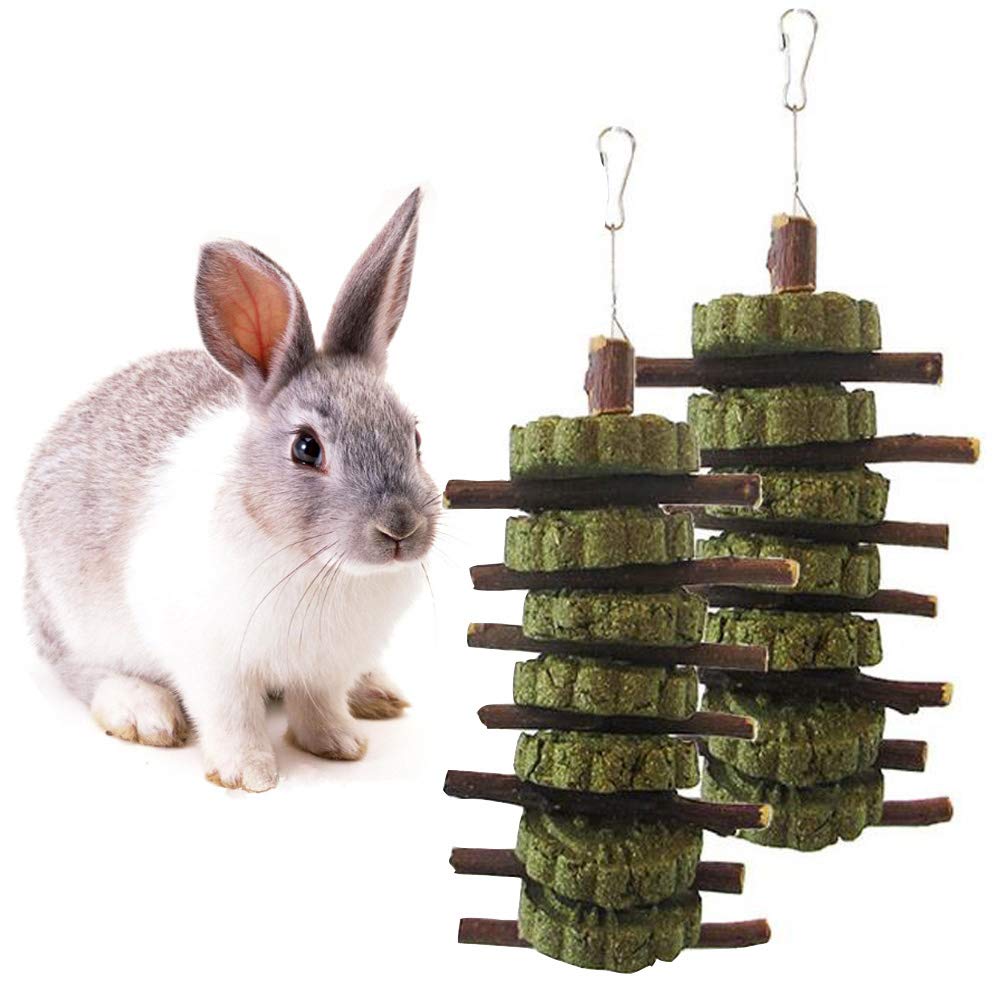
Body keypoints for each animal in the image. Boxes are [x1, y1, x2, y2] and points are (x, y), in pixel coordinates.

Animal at [18, 188, 439, 792]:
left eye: (416, 436)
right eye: (306, 448)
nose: (401, 528)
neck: (319, 568)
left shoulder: (325, 669)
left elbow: (318, 705)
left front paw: (339, 744)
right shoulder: (210, 661)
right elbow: (230, 714)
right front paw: (248, 775)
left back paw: (376, 693)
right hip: (72, 618)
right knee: (80, 670)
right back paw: (142, 710)